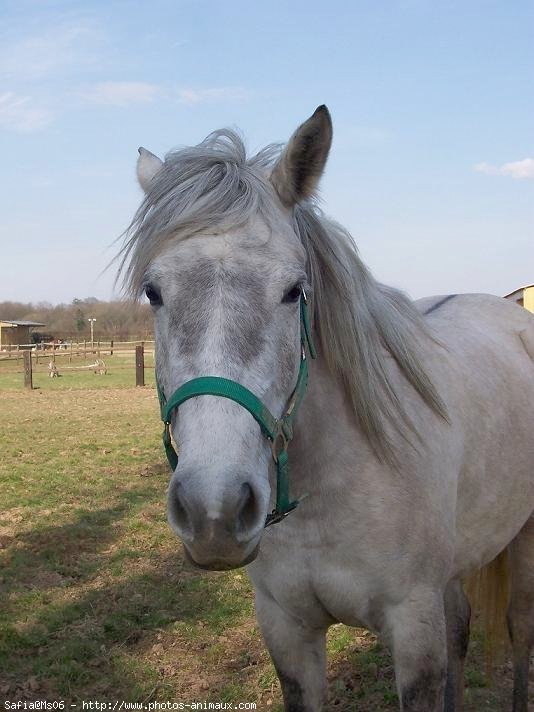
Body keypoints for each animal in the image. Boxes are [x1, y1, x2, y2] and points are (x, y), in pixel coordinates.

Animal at [118, 107, 534, 712]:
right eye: (154, 292)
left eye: (294, 290)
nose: (213, 511)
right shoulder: (288, 632)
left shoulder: (414, 630)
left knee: (519, 628)